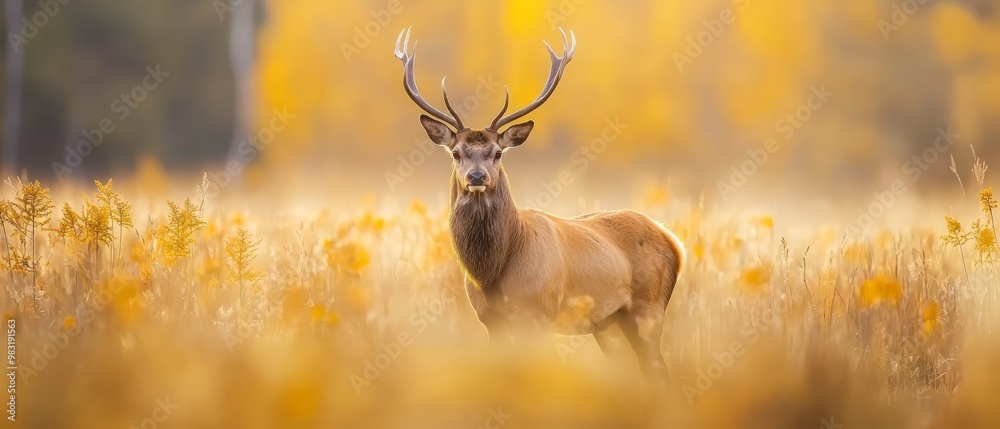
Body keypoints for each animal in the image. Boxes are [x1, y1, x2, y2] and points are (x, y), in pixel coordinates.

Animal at [393, 27, 684, 376]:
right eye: (456, 153)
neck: (492, 274)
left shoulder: (540, 313)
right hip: (609, 326)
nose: (477, 177)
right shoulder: (490, 321)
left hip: (649, 311)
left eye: (497, 152)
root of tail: (673, 240)